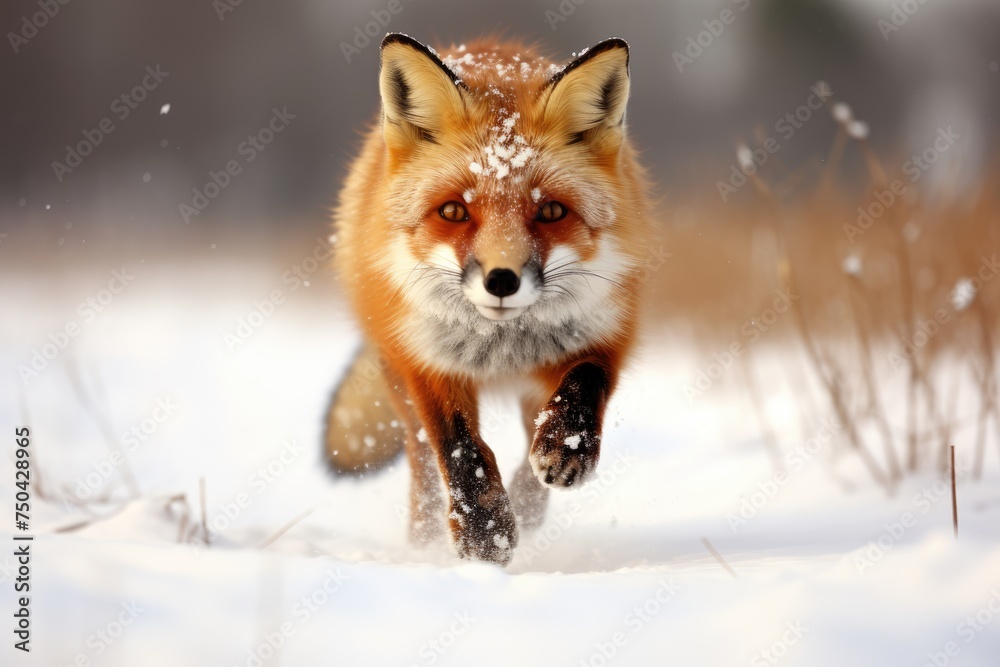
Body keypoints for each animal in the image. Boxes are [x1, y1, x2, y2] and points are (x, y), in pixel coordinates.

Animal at [324, 33, 654, 566]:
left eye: (551, 211)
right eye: (454, 211)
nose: (502, 280)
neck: (500, 348)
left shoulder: (607, 330)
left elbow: (587, 382)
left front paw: (570, 447)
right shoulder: (425, 359)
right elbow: (459, 447)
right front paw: (484, 533)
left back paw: (530, 497)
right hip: (395, 373)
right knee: (421, 459)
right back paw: (426, 539)